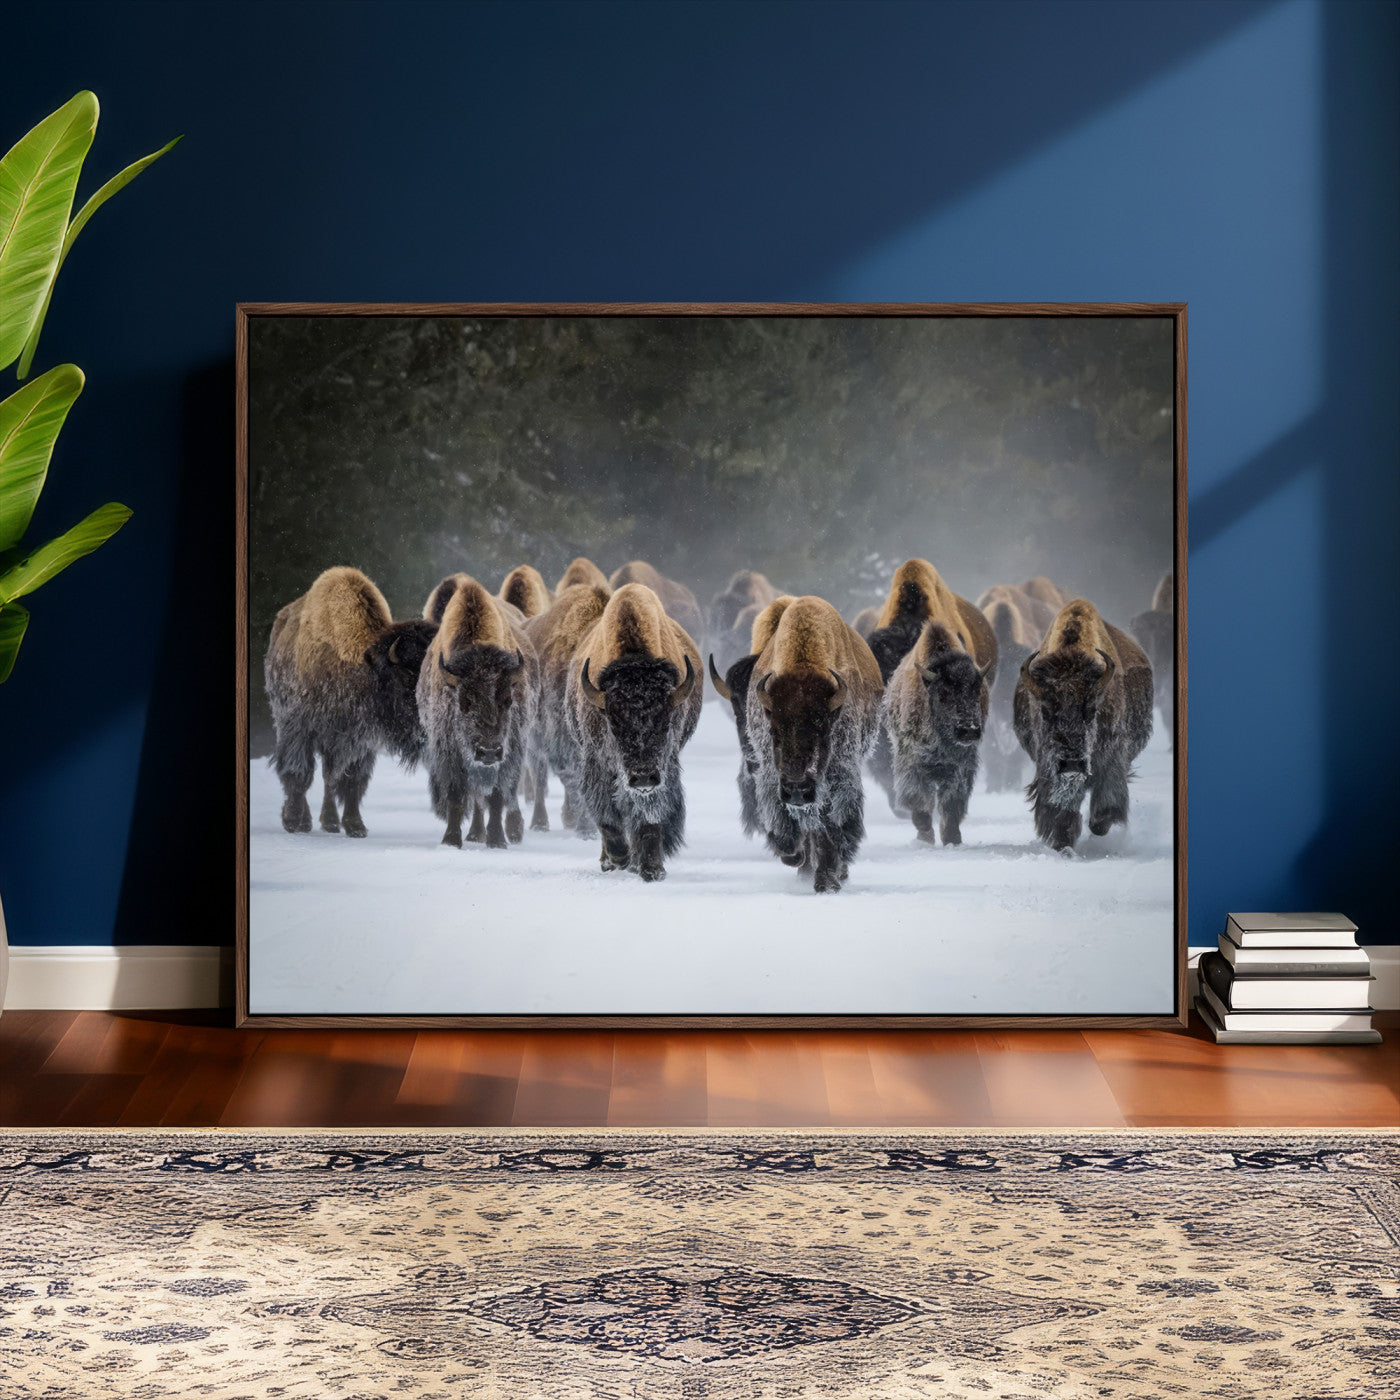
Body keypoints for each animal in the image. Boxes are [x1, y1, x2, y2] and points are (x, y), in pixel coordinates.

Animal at [265, 566, 436, 837]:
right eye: (408, 676)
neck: (365, 666)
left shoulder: (359, 741)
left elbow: (352, 780)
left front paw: (355, 826)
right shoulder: (300, 728)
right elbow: (299, 773)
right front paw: (292, 821)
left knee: (329, 778)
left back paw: (330, 822)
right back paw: (305, 821)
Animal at [568, 583, 702, 881]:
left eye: (665, 722)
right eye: (614, 724)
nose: (642, 778)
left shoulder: (663, 768)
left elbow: (649, 815)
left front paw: (652, 869)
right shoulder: (598, 763)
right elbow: (607, 815)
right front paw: (618, 858)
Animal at [747, 596, 883, 892]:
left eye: (824, 730)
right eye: (774, 730)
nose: (798, 789)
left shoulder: (837, 779)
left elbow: (830, 827)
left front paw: (827, 881)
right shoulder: (773, 777)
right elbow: (788, 823)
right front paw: (793, 856)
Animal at [1013, 598, 1154, 851]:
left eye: (1091, 710)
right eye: (1045, 711)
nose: (1071, 763)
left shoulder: (1112, 758)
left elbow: (1107, 799)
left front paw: (1098, 825)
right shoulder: (1049, 767)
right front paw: (1063, 843)